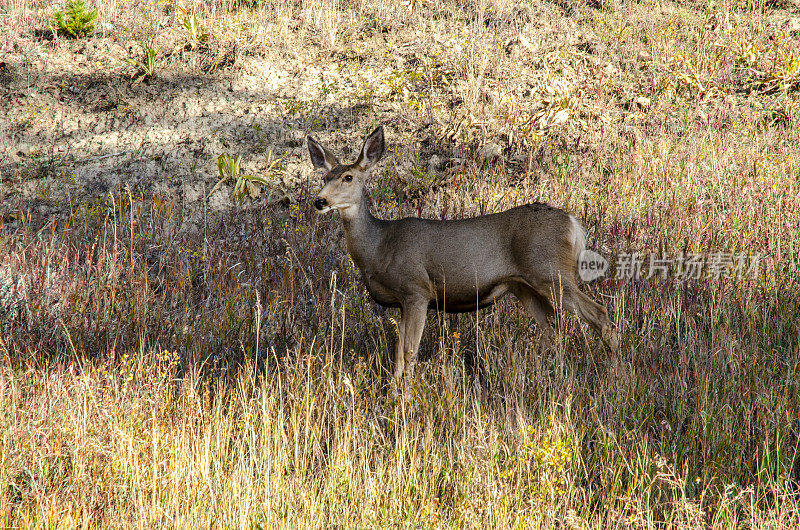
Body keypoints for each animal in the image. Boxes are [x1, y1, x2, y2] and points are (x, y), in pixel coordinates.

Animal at [306, 125, 620, 386]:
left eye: (348, 177)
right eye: (324, 176)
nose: (320, 201)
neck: (379, 247)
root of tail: (573, 223)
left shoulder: (417, 290)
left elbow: (409, 352)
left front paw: (405, 397)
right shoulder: (402, 302)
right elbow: (398, 354)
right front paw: (393, 392)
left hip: (551, 270)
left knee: (599, 314)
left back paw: (614, 372)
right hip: (524, 286)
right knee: (553, 328)